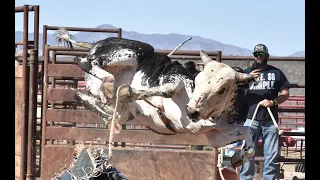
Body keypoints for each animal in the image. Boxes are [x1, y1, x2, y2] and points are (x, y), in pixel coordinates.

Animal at [54, 28, 255, 167]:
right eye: (198, 79)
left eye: (222, 90)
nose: (191, 111)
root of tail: (98, 43)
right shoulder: (174, 77)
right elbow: (170, 89)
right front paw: (128, 92)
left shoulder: (217, 136)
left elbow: (249, 134)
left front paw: (238, 158)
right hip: (130, 53)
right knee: (83, 61)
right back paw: (111, 84)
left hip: (118, 108)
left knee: (86, 98)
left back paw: (109, 109)